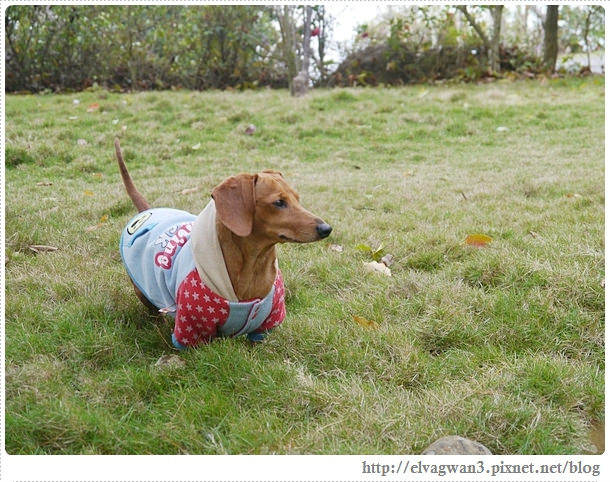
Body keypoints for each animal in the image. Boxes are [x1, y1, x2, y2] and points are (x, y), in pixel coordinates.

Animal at [116, 137, 330, 348]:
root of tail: (147, 211)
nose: (326, 229)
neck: (253, 267)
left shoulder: (266, 323)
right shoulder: (191, 330)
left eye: (297, 198)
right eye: (278, 202)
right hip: (141, 289)